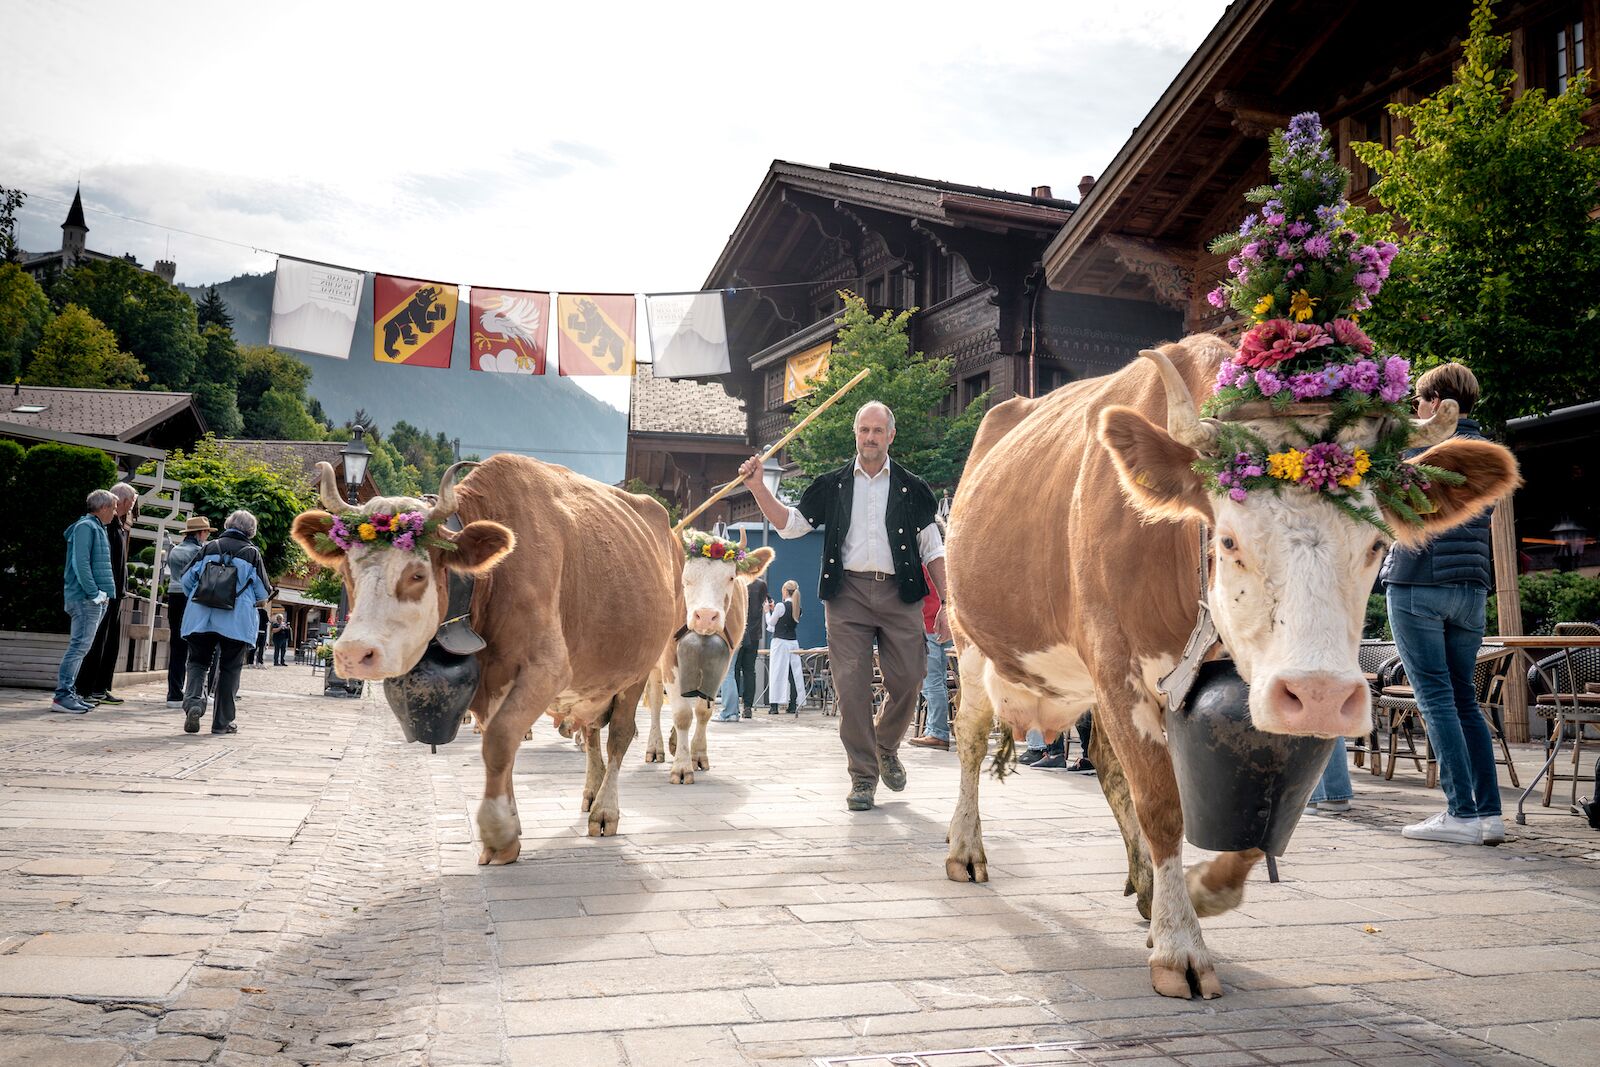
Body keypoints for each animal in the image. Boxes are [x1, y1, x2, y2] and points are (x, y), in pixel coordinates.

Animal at [291, 454, 678, 863]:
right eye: (346, 571)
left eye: (417, 574)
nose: (352, 652)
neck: (492, 580)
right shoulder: (491, 682)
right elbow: (502, 749)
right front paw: (511, 823)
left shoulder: (548, 669)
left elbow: (499, 742)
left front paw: (498, 831)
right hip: (596, 684)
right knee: (591, 733)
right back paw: (591, 791)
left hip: (638, 671)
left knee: (619, 735)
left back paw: (605, 810)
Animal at [646, 527, 777, 783]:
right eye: (685, 578)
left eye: (731, 577)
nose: (706, 616)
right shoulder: (669, 660)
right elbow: (681, 714)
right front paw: (682, 767)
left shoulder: (724, 664)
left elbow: (702, 711)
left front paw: (696, 755)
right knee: (656, 701)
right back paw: (655, 747)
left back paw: (675, 743)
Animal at [940, 112, 1516, 998]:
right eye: (1232, 538)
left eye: (1378, 542)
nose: (1326, 693)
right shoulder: (1118, 660)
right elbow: (1165, 804)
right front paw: (1181, 946)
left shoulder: (1253, 687)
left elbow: (1250, 819)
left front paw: (1199, 893)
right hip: (973, 641)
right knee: (972, 742)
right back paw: (968, 850)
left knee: (1103, 764)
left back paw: (1146, 883)